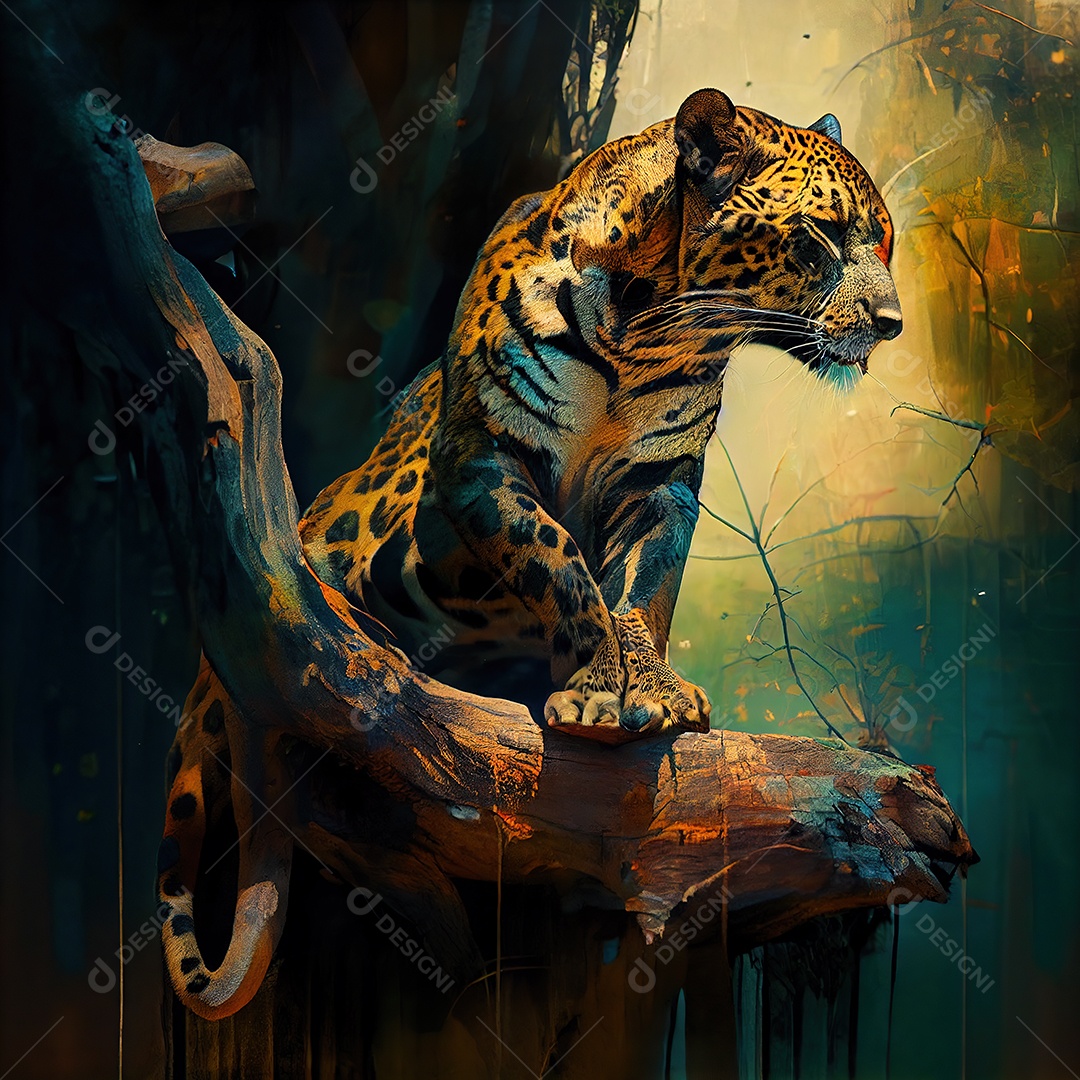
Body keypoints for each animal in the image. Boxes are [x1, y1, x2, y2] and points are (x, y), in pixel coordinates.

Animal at [159, 87, 901, 1018]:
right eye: (821, 237)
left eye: (884, 241)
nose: (892, 325)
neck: (651, 330)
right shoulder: (483, 460)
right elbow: (560, 563)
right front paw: (594, 690)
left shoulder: (662, 483)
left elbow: (644, 590)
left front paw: (653, 689)